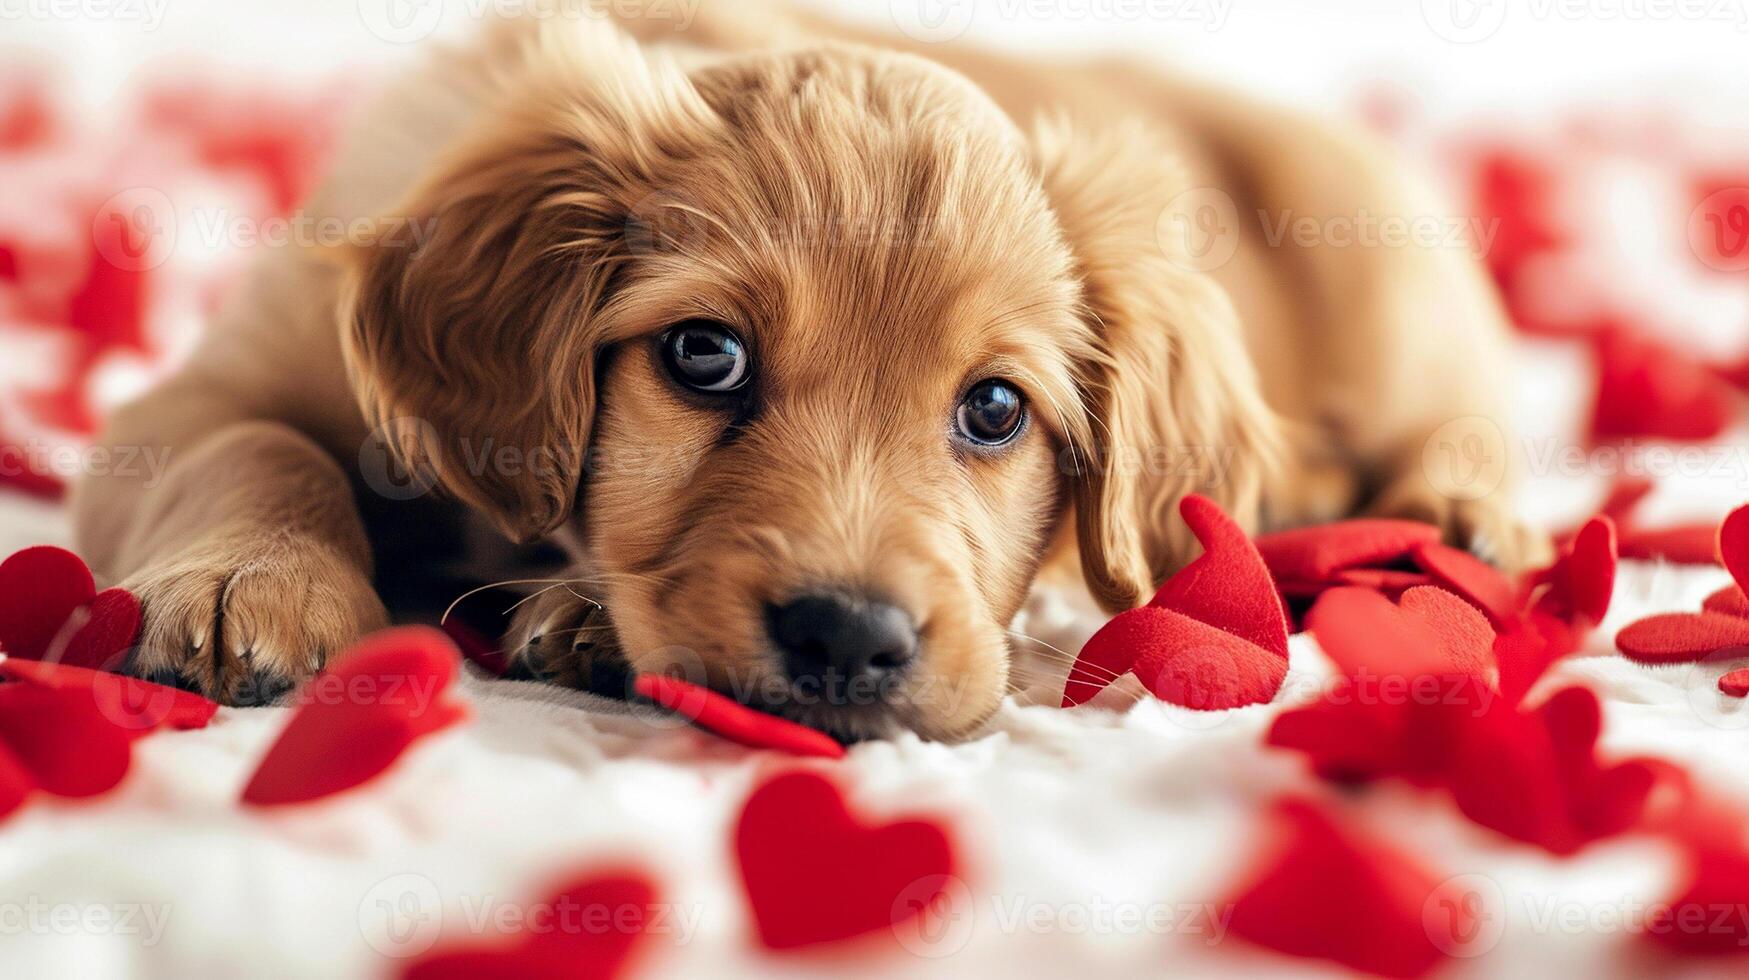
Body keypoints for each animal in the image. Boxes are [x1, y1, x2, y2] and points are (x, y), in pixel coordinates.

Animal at [75, 0, 1539, 735]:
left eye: (995, 407)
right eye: (703, 354)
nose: (846, 638)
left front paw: (586, 614)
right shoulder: (193, 396)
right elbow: (255, 439)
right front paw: (252, 580)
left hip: (1383, 257)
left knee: (1464, 411)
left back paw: (1458, 513)